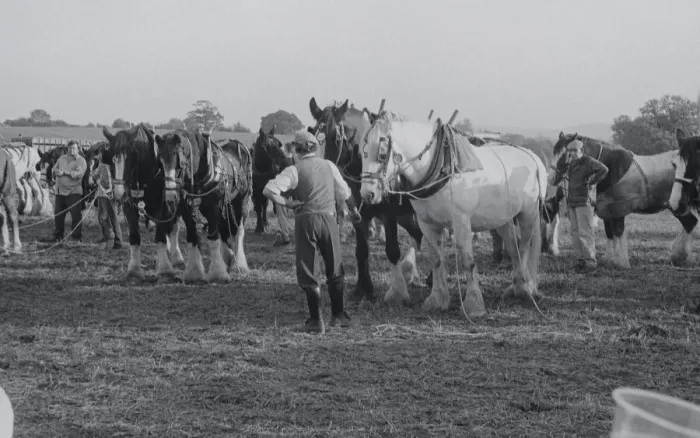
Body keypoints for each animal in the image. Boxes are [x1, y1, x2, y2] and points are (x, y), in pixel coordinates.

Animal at [102, 124, 188, 282]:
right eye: (110, 158)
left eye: (131, 156)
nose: (119, 193)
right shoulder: (129, 207)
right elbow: (135, 236)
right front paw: (134, 270)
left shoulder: (163, 207)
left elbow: (160, 236)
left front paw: (165, 271)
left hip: (177, 204)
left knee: (173, 228)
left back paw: (176, 259)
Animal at [154, 129, 252, 283]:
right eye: (161, 162)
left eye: (180, 163)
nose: (170, 195)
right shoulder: (187, 210)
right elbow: (192, 238)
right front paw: (193, 273)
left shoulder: (214, 208)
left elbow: (213, 239)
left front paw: (218, 273)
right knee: (224, 228)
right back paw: (228, 258)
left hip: (242, 200)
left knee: (238, 230)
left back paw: (238, 266)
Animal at [309, 98, 428, 302]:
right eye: (314, 139)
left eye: (336, 139)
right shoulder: (359, 216)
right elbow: (361, 250)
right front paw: (364, 289)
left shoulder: (388, 215)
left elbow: (392, 250)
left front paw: (397, 292)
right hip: (405, 215)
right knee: (418, 234)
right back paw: (410, 272)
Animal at [359, 111, 547, 316]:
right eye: (363, 151)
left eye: (382, 153)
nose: (367, 194)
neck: (442, 169)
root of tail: (532, 156)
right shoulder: (427, 223)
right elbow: (436, 260)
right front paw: (437, 299)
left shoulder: (461, 221)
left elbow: (467, 260)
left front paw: (474, 304)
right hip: (502, 220)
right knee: (514, 250)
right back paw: (515, 286)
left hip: (528, 215)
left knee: (525, 247)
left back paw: (524, 287)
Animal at [550, 132, 699, 268]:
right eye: (554, 152)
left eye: (566, 154)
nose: (551, 178)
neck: (612, 168)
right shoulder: (607, 208)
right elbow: (609, 232)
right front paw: (609, 258)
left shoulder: (618, 208)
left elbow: (618, 231)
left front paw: (622, 262)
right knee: (690, 223)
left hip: (677, 205)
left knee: (690, 223)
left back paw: (681, 256)